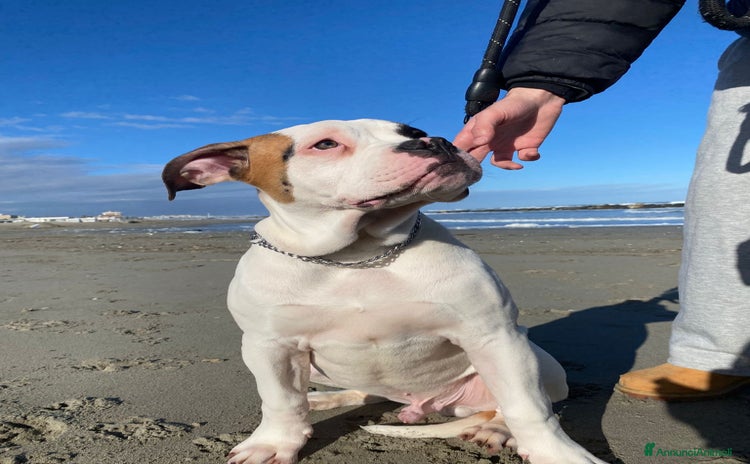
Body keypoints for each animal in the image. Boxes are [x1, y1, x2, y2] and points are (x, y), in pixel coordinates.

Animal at [162, 119, 606, 464]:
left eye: (413, 131)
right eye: (326, 144)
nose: (434, 141)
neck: (356, 255)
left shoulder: (494, 334)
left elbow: (527, 407)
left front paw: (558, 454)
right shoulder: (268, 345)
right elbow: (281, 401)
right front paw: (273, 444)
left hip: (541, 362)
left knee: (506, 404)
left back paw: (494, 430)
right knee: (365, 393)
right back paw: (324, 398)